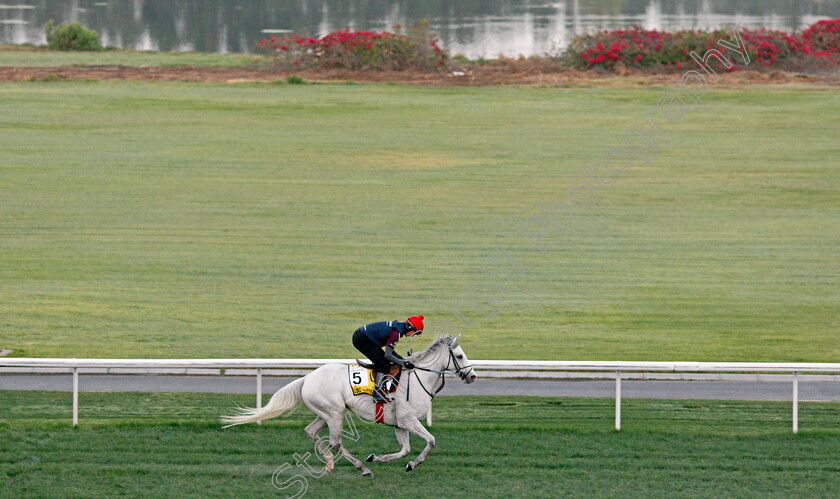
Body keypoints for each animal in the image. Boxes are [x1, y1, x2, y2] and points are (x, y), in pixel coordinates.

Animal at [220, 336, 476, 476]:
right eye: (460, 356)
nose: (472, 376)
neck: (418, 378)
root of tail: (307, 378)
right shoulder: (409, 421)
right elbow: (430, 441)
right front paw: (412, 464)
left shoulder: (399, 424)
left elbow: (404, 450)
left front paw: (378, 458)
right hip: (335, 413)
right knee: (335, 442)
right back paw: (361, 468)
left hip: (324, 413)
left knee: (311, 432)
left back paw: (331, 465)